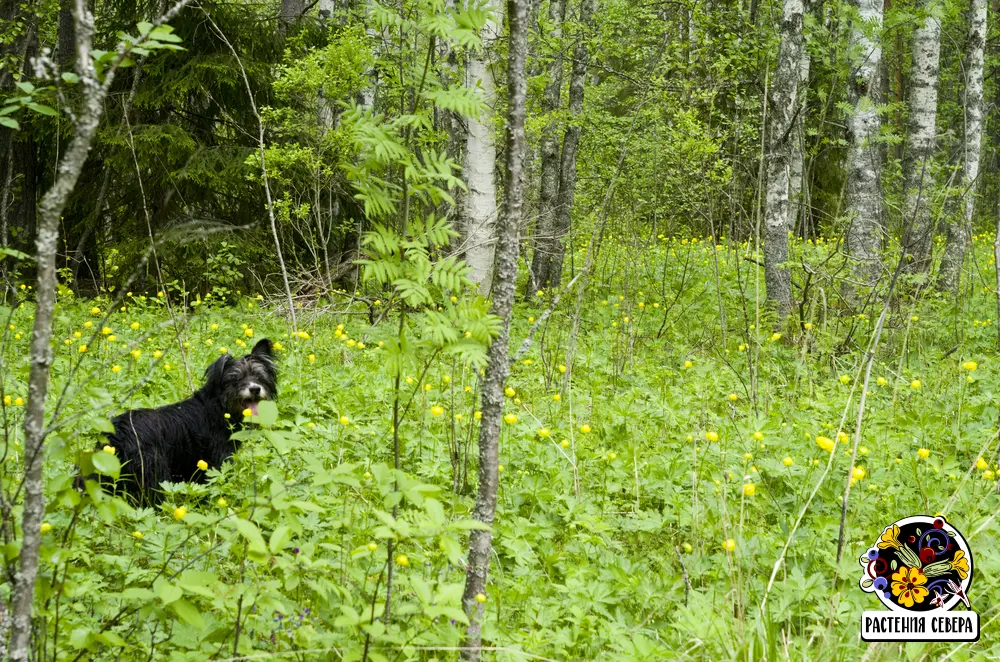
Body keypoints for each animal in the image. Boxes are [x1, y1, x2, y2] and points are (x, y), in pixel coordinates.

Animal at [94, 340, 278, 506]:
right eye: (237, 379)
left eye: (259, 376)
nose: (255, 389)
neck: (219, 407)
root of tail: (117, 432)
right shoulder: (216, 461)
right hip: (152, 476)